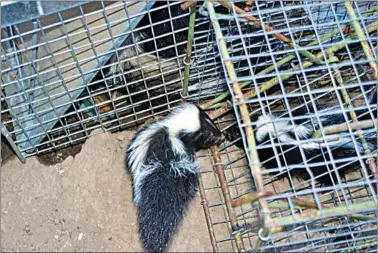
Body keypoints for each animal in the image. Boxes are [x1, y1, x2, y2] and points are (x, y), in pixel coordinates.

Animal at [226, 88, 376, 186]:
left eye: (237, 134)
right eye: (235, 126)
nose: (226, 133)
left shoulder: (278, 154)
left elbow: (278, 168)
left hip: (329, 159)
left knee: (331, 174)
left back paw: (325, 185)